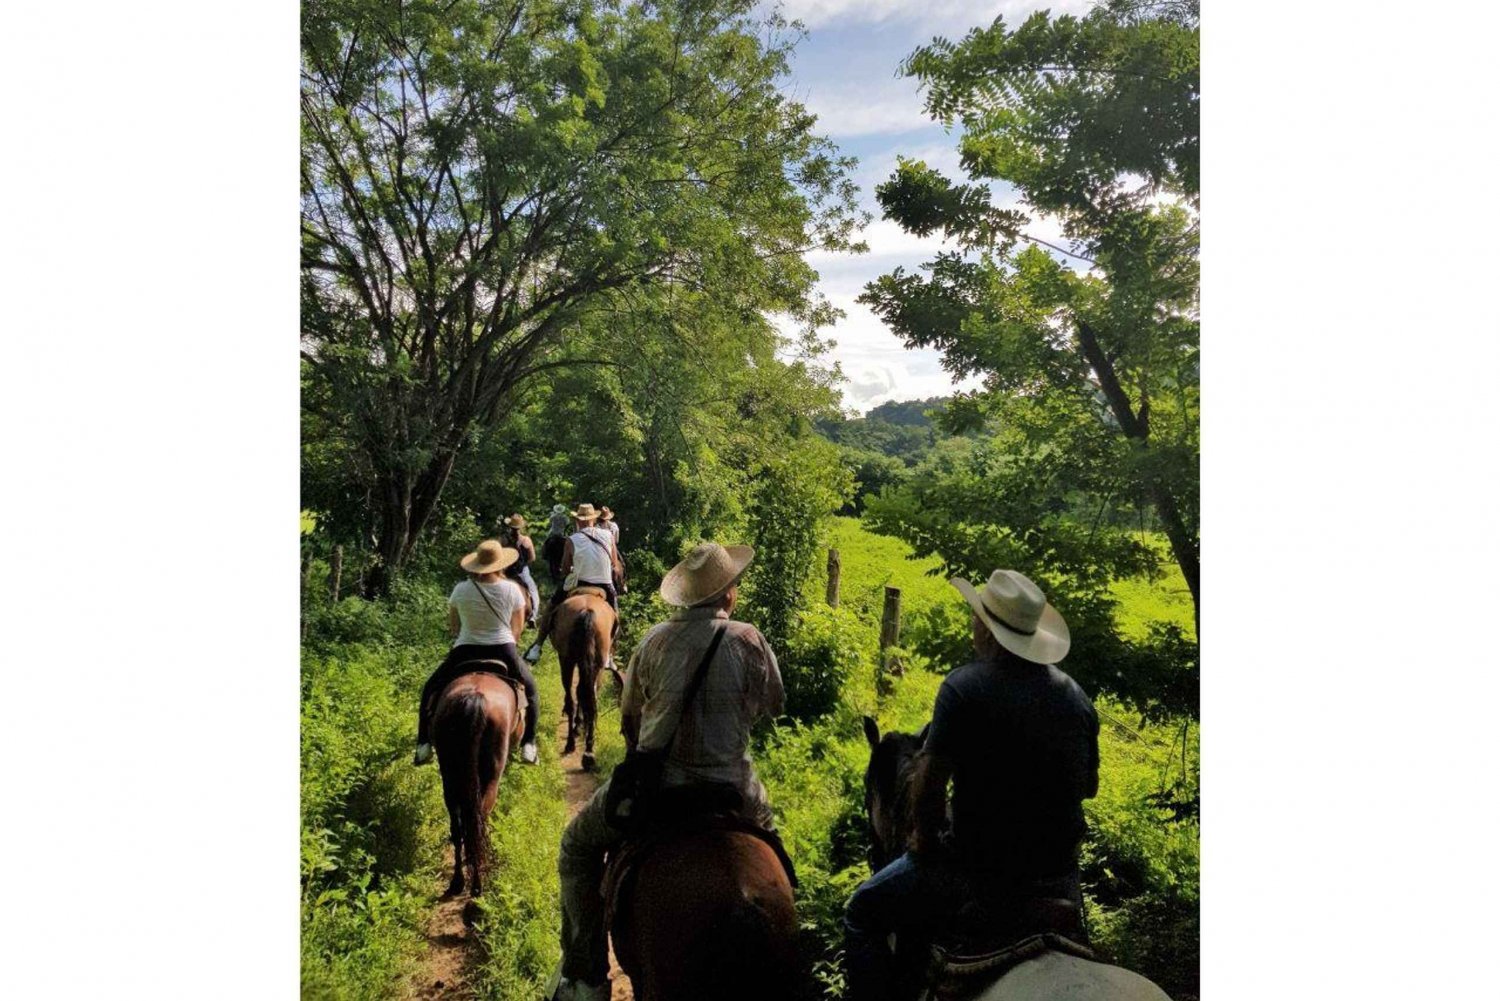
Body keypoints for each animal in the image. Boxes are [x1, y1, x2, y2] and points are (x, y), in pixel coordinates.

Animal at [432, 669, 525, 912]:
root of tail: (474, 699)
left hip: (449, 777)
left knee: (459, 827)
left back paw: (458, 882)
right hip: (491, 774)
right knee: (479, 820)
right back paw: (477, 886)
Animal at [552, 591, 615, 774]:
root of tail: (587, 611)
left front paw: (578, 725)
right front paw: (580, 725)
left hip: (567, 659)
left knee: (573, 696)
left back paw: (572, 744)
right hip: (596, 662)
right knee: (588, 698)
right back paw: (588, 753)